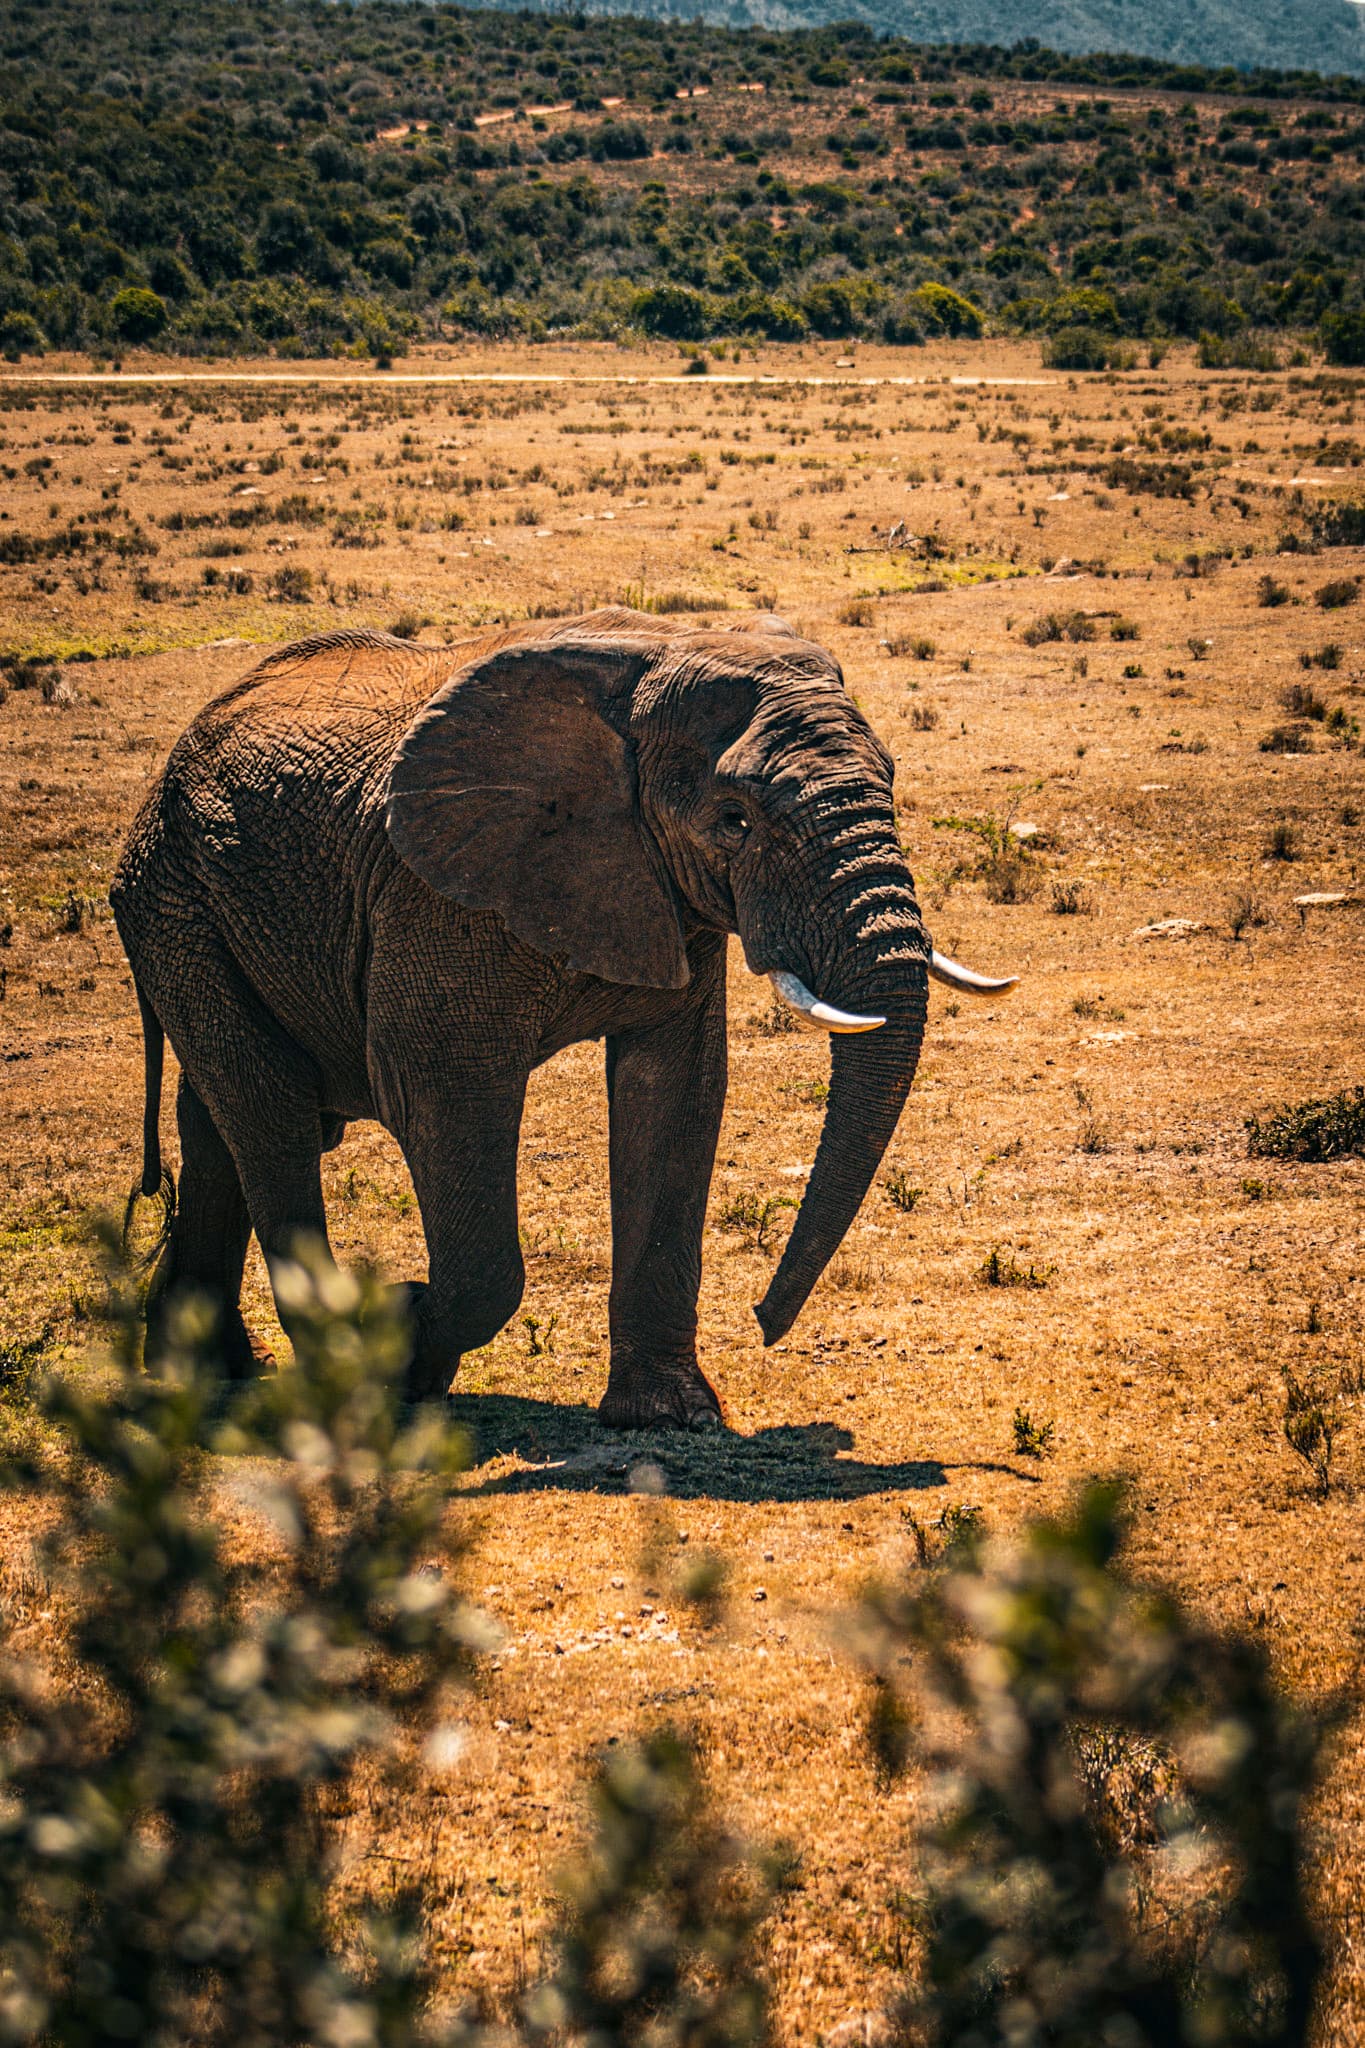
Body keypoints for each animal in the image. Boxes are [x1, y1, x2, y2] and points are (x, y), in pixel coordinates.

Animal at [111, 608, 1014, 1430]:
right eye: (734, 820)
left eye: (891, 779)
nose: (762, 1322)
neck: (658, 660)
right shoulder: (434, 895)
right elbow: (436, 1095)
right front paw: (398, 1346)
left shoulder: (665, 898)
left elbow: (674, 1092)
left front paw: (666, 1417)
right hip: (176, 899)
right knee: (272, 1116)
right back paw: (322, 1380)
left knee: (221, 1120)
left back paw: (205, 1369)